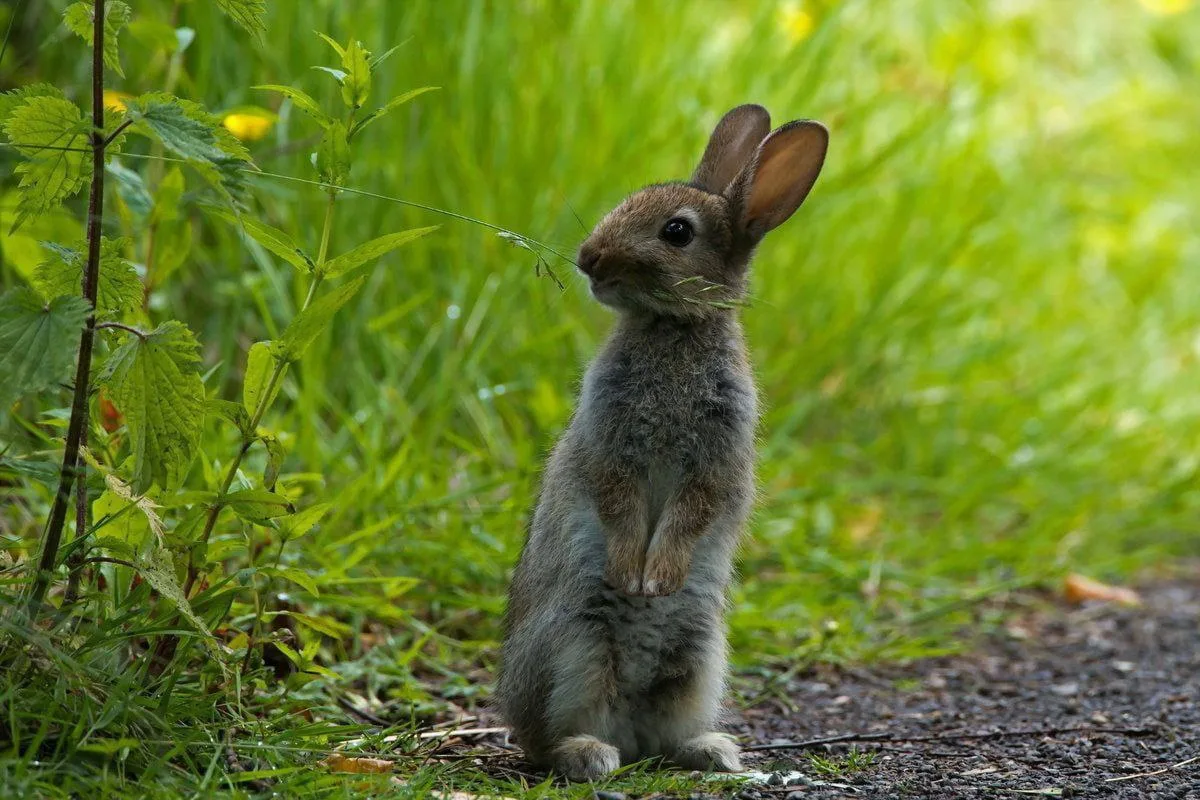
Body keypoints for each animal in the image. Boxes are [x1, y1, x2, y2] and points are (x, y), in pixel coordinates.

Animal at [497, 104, 828, 781]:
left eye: (677, 231)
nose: (589, 258)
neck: (673, 327)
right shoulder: (611, 447)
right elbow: (619, 502)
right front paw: (634, 576)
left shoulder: (715, 462)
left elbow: (691, 512)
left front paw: (657, 582)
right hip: (575, 644)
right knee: (546, 740)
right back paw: (591, 754)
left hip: (699, 657)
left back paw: (710, 750)